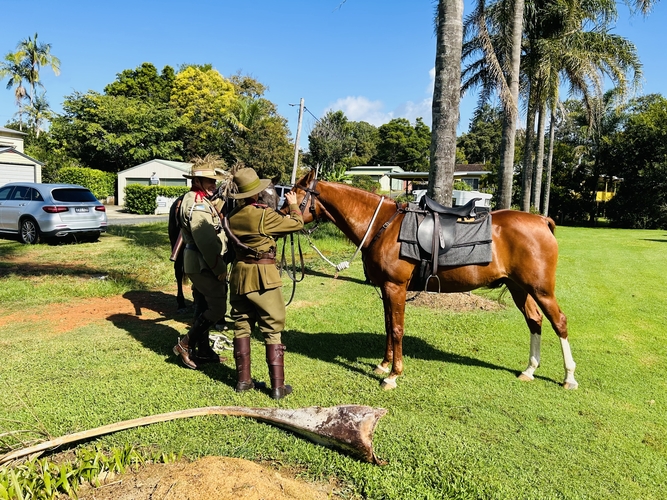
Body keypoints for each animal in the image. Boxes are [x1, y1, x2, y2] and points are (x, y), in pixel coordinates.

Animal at [292, 170, 578, 391]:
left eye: (293, 196)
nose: (282, 215)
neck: (384, 225)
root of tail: (541, 219)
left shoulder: (395, 287)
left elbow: (397, 329)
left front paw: (393, 375)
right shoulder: (387, 289)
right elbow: (388, 326)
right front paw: (383, 365)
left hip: (540, 289)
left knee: (559, 322)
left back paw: (569, 377)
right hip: (519, 287)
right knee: (535, 320)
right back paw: (529, 370)